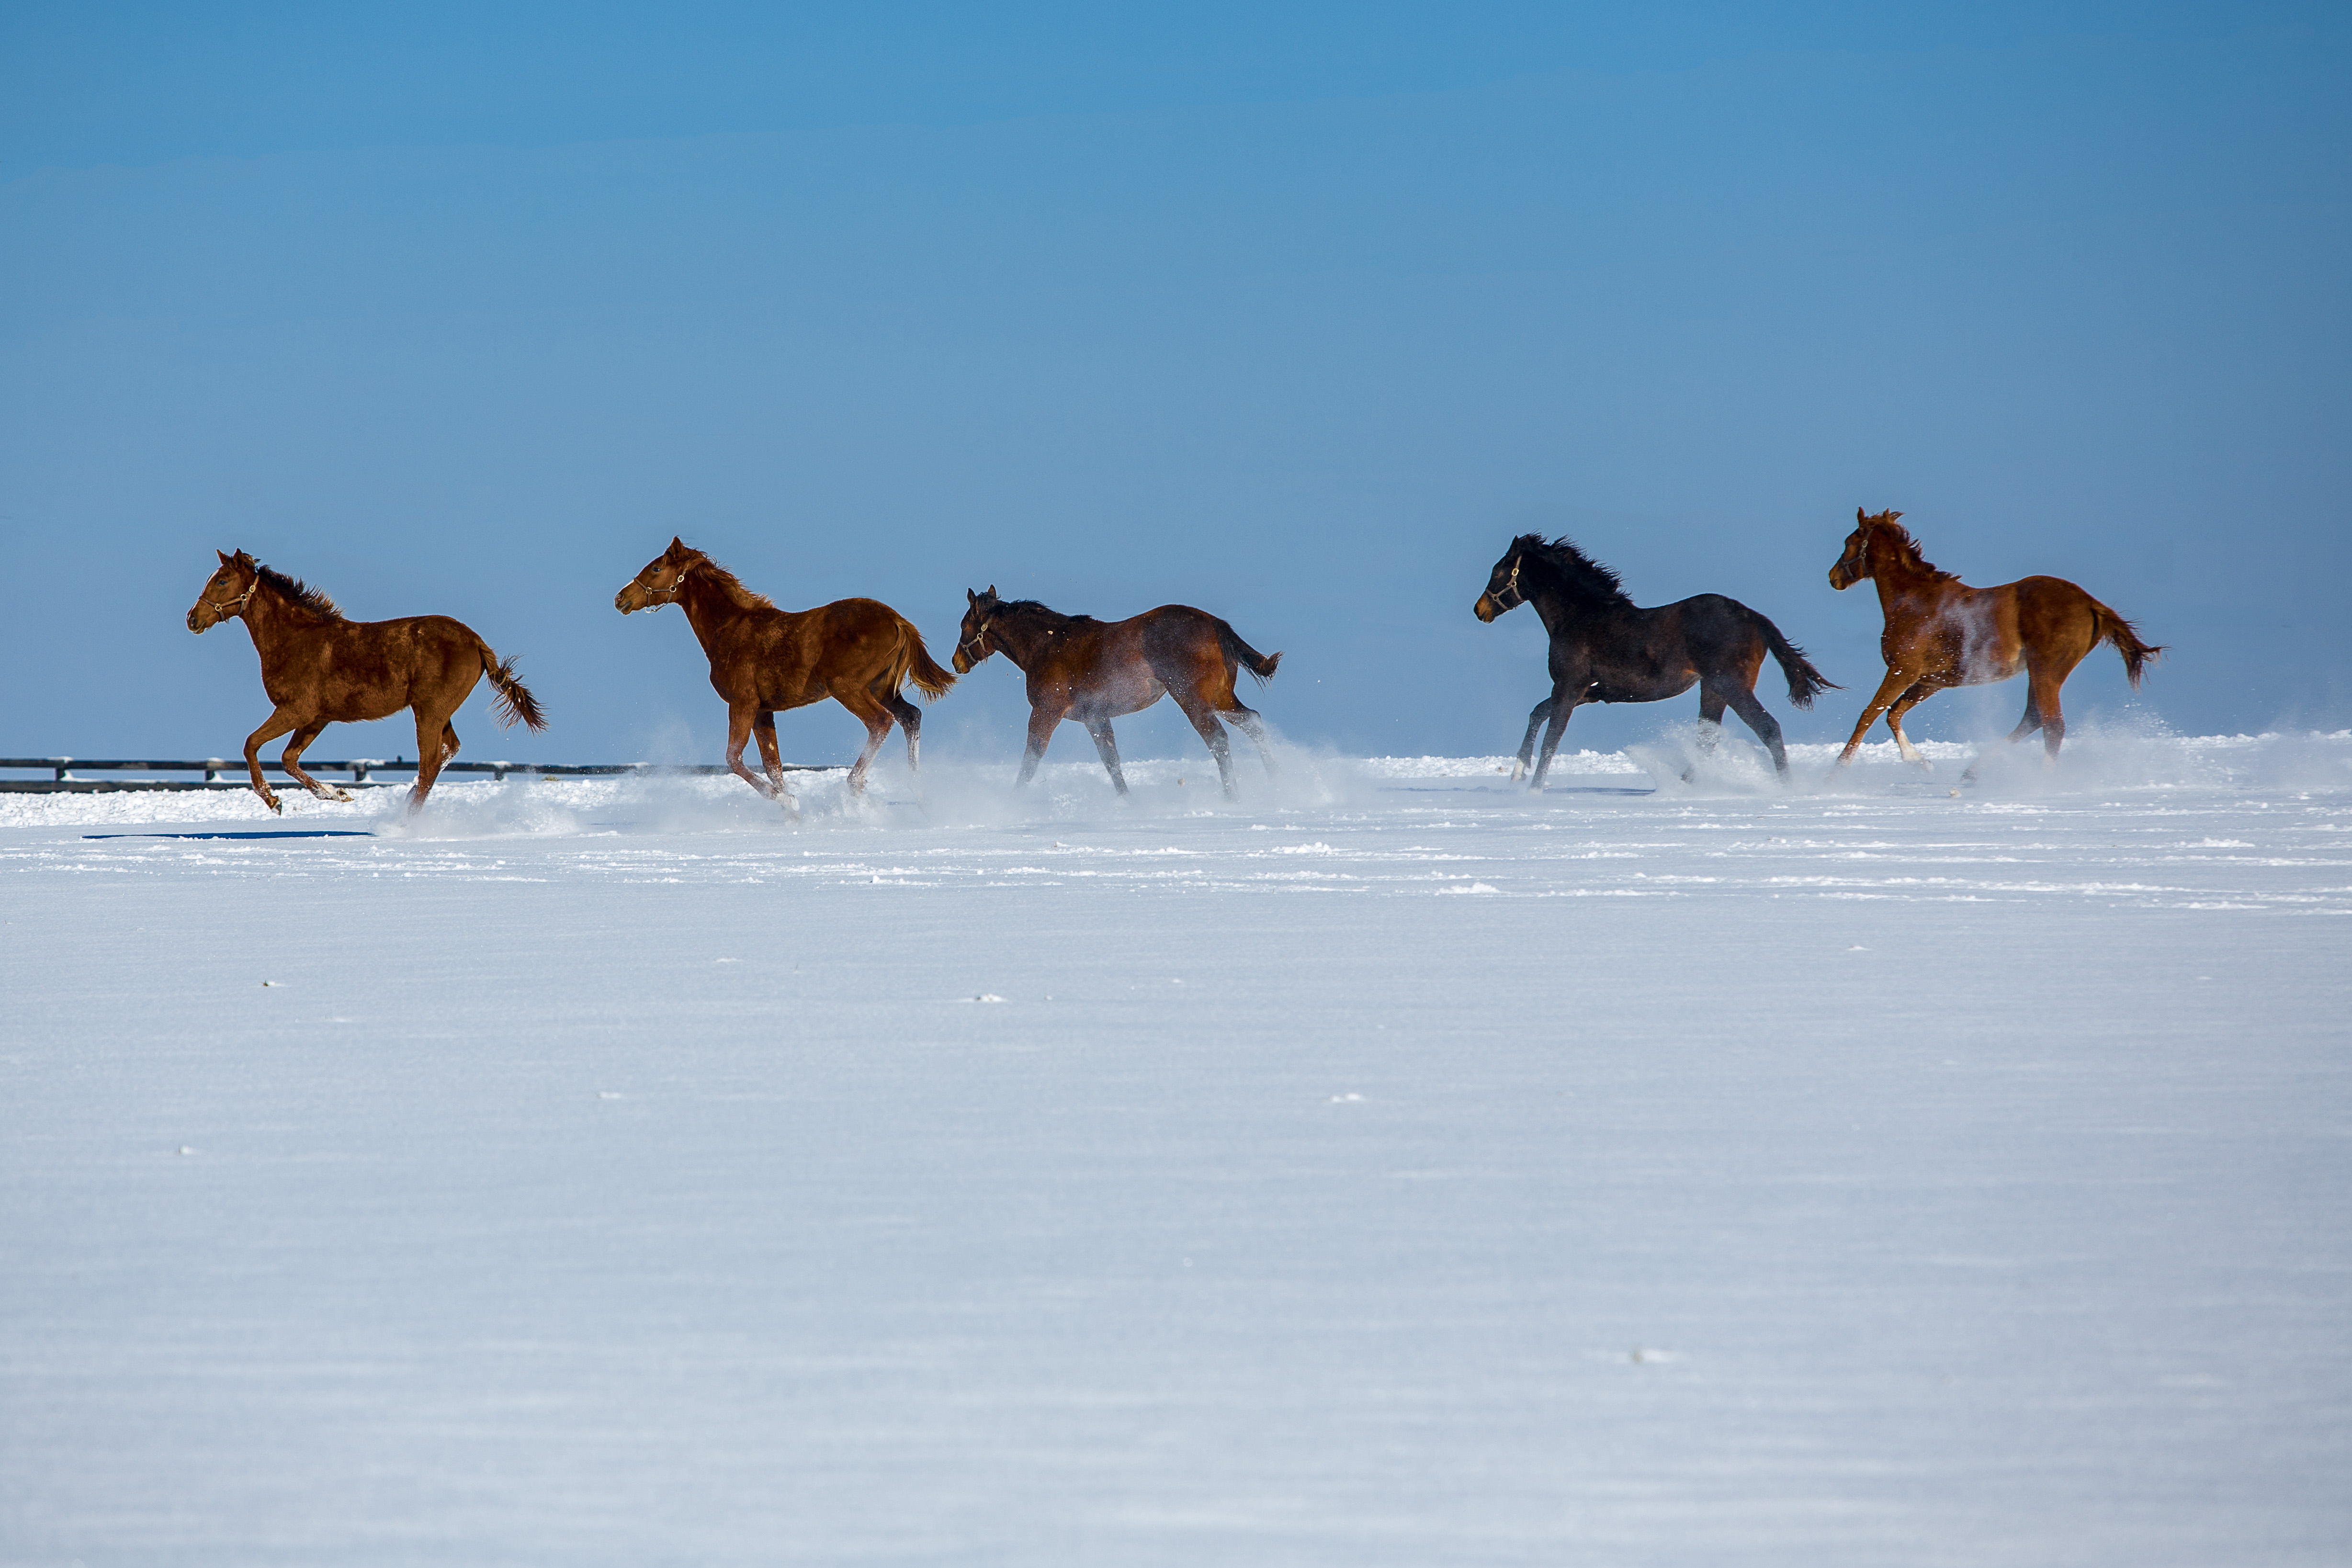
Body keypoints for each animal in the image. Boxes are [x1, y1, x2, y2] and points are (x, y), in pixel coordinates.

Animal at [184, 545, 545, 818]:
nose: (192, 619)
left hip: (429, 710)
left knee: (429, 763)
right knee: (448, 750)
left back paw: (405, 820)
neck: (295, 640)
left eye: (222, 581)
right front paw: (338, 794)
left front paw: (275, 801)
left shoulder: (296, 711)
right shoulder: (316, 719)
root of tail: (476, 642)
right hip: (438, 712)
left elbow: (251, 745)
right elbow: (289, 760)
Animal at [621, 541, 960, 818]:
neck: (728, 629)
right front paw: (792, 812)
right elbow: (773, 766)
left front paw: (788, 802)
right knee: (910, 717)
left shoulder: (743, 703)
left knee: (881, 723)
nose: (620, 598)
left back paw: (855, 788)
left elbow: (734, 758)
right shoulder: (763, 711)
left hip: (848, 687)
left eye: (656, 568)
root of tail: (898, 621)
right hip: (882, 688)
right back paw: (920, 793)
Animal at [950, 585, 1289, 799]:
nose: (956, 662)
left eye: (964, 625)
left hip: (1193, 700)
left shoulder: (1046, 712)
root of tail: (1216, 624)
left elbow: (1031, 760)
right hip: (1219, 699)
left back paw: (1233, 796)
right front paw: (1128, 802)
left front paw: (1012, 801)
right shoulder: (1095, 718)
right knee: (1254, 723)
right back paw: (1275, 781)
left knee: (1219, 741)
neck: (1047, 645)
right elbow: (1111, 761)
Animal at [1468, 536, 1834, 785]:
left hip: (1730, 686)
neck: (1580, 617)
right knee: (1708, 740)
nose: (1479, 610)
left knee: (1768, 728)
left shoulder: (1569, 688)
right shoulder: (1585, 692)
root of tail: (1754, 618)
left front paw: (1533, 789)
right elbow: (1536, 715)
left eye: (1499, 570)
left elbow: (1551, 740)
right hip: (1713, 689)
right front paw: (1517, 774)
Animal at [1825, 512, 2154, 776]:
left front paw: (1837, 771)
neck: (1914, 603)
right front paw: (1921, 762)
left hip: (2046, 671)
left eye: (1849, 540)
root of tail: (2090, 603)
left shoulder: (1903, 670)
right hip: (2042, 673)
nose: (1833, 577)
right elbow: (1893, 714)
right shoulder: (1931, 680)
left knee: (2052, 725)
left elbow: (1869, 714)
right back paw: (1970, 775)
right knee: (2034, 718)